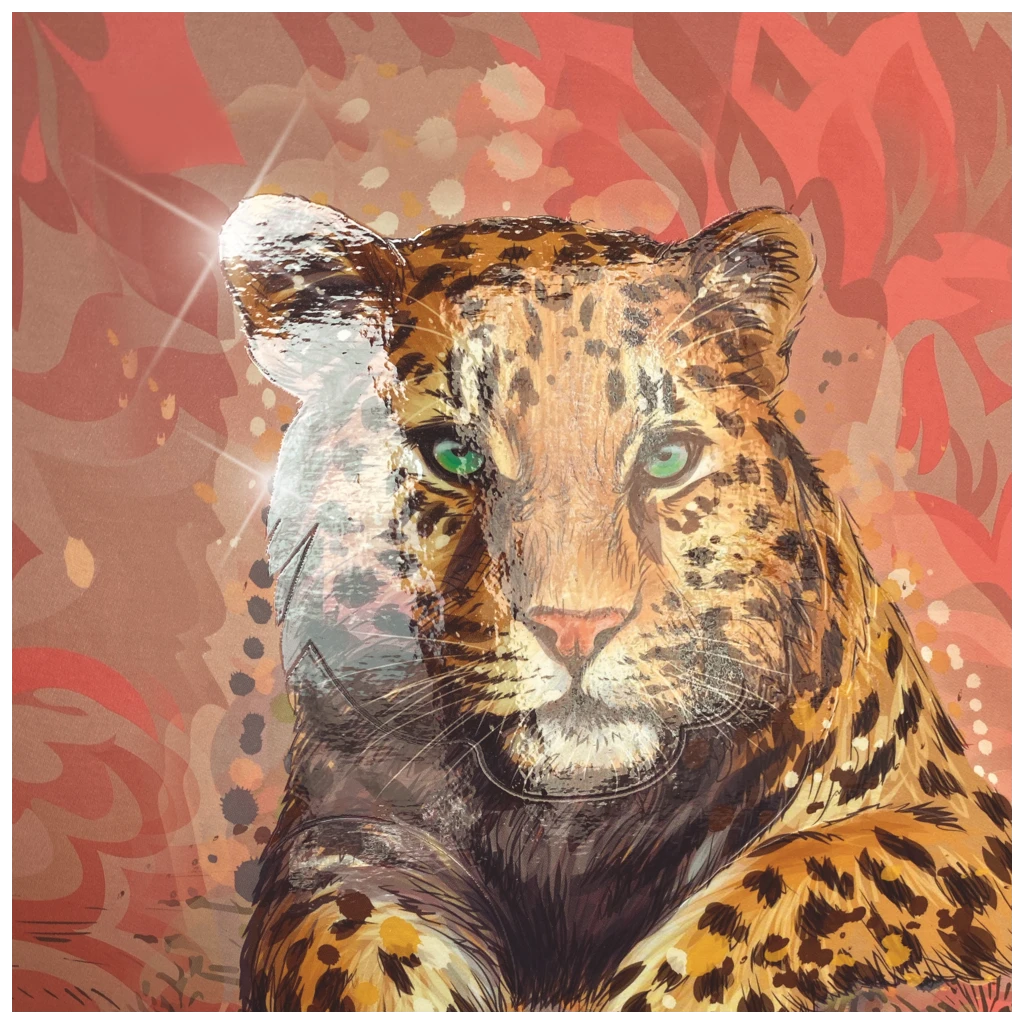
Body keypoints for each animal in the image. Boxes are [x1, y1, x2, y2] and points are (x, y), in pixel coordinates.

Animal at [219, 194, 1012, 1013]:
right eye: (453, 455)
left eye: (667, 458)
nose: (577, 628)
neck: (565, 833)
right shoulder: (344, 842)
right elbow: (348, 946)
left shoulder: (947, 826)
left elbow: (789, 885)